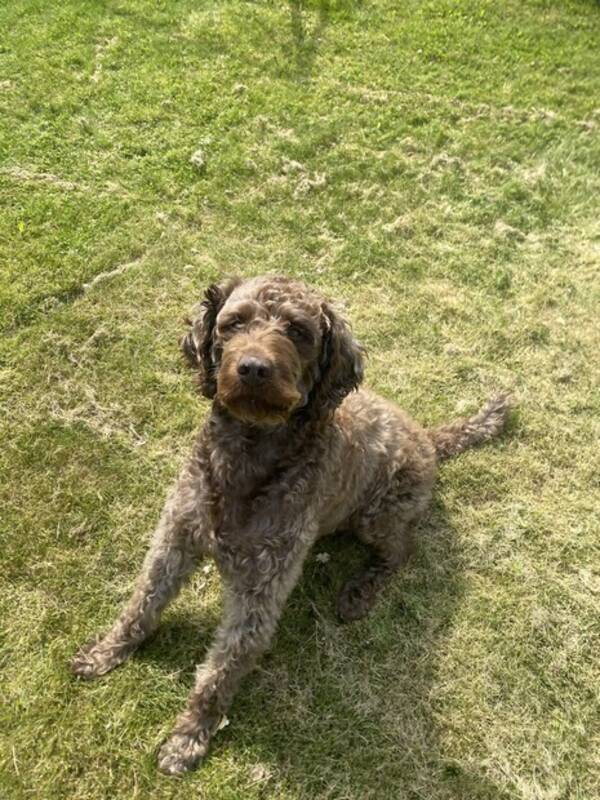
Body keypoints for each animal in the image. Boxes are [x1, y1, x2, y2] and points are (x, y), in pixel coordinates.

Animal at [71, 272, 510, 772]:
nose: (253, 368)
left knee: (401, 550)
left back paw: (361, 590)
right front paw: (108, 651)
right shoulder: (175, 539)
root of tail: (429, 437)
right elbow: (142, 603)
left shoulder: (260, 590)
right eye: (234, 323)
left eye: (298, 332)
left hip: (378, 515)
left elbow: (219, 671)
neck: (248, 455)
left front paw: (190, 735)